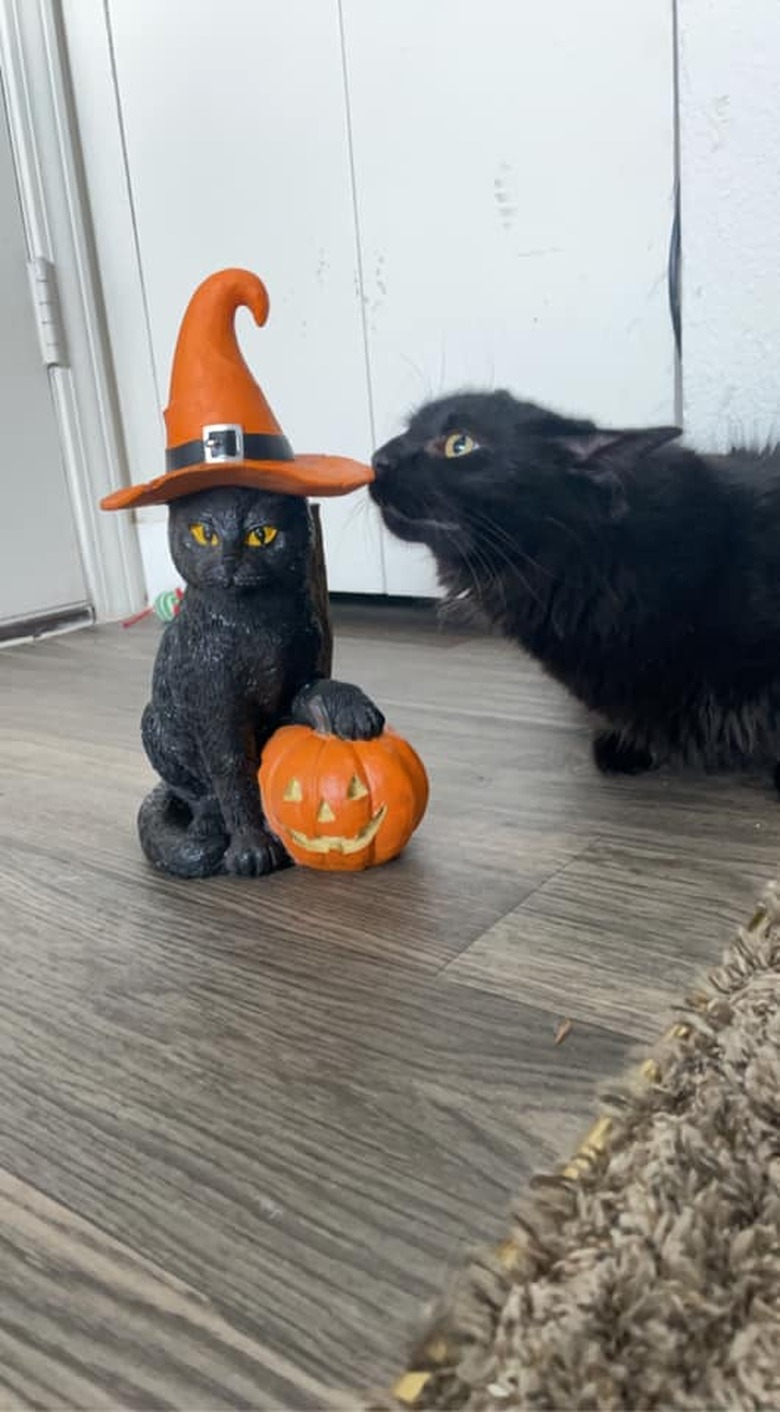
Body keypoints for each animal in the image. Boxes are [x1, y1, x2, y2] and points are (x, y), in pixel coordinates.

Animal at [140, 491, 387, 875]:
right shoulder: (217, 709)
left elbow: (319, 690)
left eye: (262, 534)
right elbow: (232, 772)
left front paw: (353, 710)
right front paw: (251, 847)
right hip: (153, 723)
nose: (229, 564)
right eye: (204, 534)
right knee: (198, 796)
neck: (257, 626)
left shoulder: (296, 686)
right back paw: (208, 827)